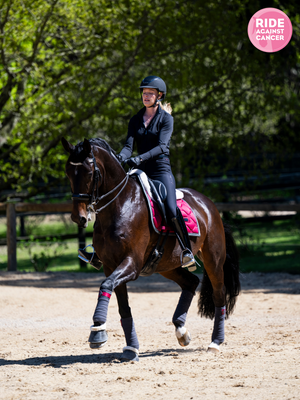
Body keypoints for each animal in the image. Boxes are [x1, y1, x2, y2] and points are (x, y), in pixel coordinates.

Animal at [62, 138, 240, 362]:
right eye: (68, 172)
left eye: (89, 172)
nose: (79, 217)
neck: (120, 205)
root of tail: (209, 204)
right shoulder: (111, 266)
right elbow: (122, 305)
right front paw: (131, 348)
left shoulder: (131, 264)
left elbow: (106, 285)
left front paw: (98, 332)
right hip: (167, 265)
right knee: (191, 282)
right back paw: (181, 332)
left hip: (213, 259)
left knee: (219, 293)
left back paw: (215, 342)